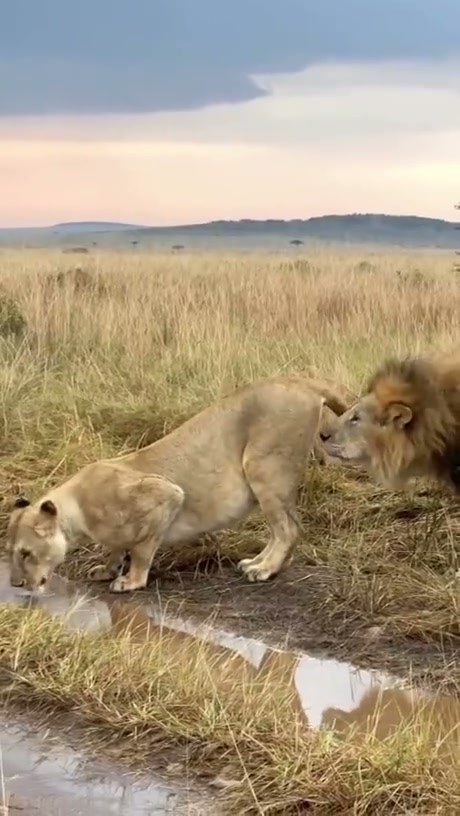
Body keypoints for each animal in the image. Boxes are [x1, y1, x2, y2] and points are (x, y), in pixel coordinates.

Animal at [7, 374, 351, 594]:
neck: (77, 513)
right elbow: (116, 547)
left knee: (289, 529)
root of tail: (301, 380)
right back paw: (256, 562)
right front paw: (107, 569)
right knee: (282, 529)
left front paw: (130, 581)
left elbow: (141, 549)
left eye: (25, 553)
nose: (14, 584)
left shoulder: (166, 496)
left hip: (264, 467)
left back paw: (264, 570)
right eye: (11, 552)